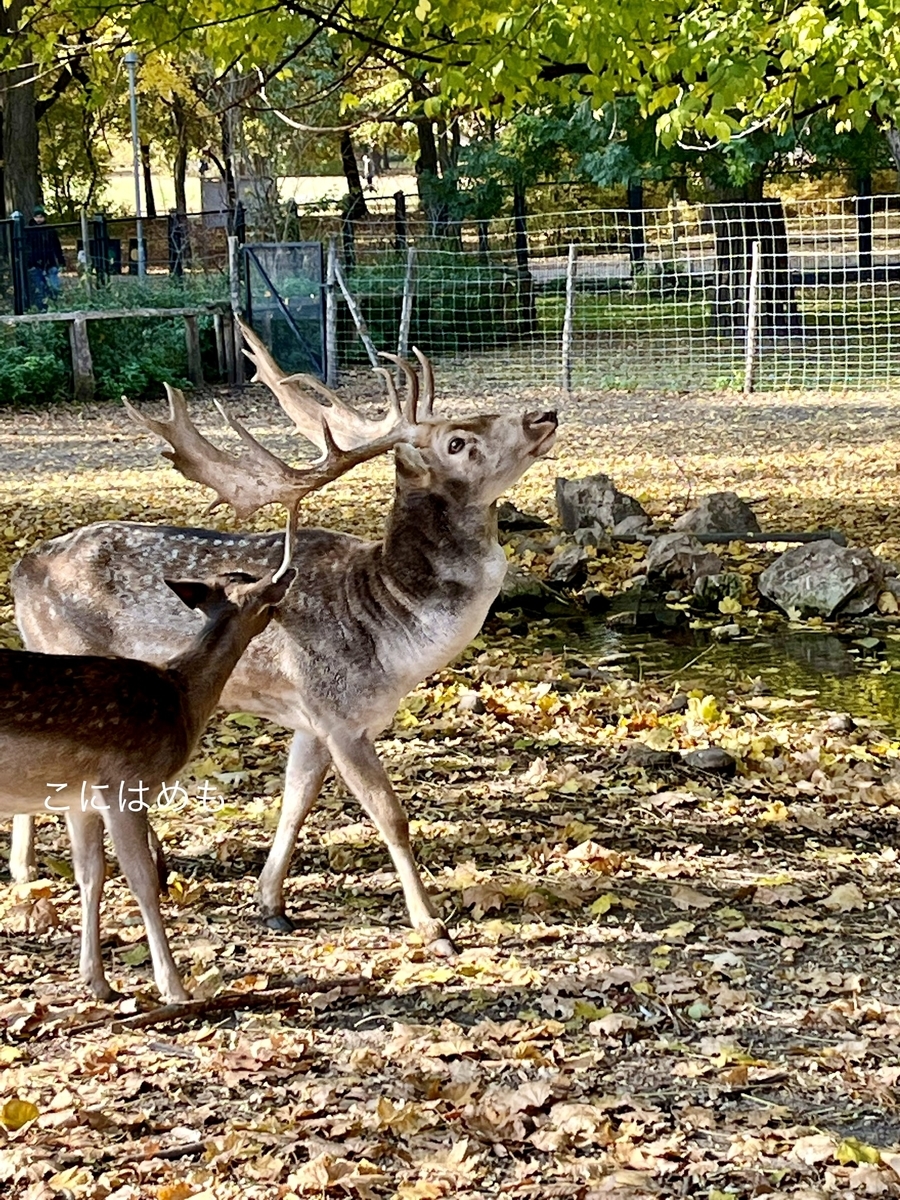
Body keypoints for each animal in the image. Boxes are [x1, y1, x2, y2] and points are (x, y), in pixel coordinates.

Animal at [10, 321, 561, 955]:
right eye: (456, 441)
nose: (543, 414)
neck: (392, 628)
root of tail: (21, 569)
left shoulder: (312, 719)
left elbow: (294, 803)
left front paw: (269, 903)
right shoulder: (340, 714)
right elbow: (390, 815)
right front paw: (433, 929)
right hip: (68, 663)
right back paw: (37, 873)